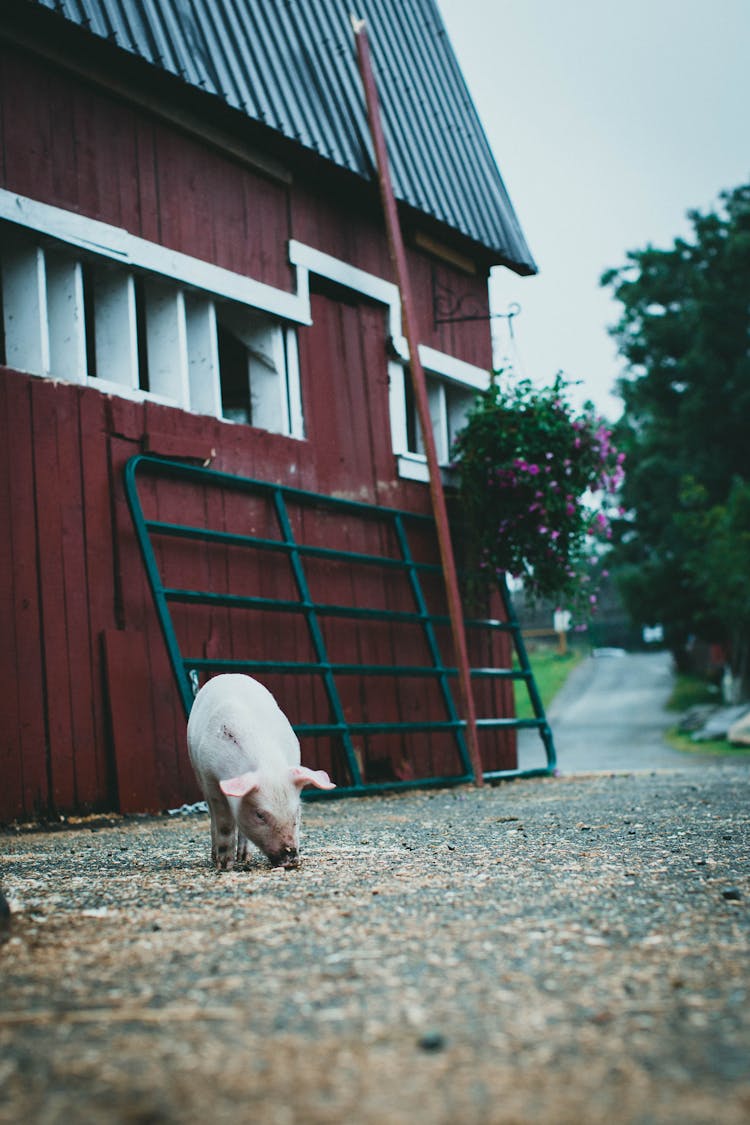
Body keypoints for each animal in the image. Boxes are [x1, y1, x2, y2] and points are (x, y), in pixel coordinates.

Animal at [186, 670, 335, 873]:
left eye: (296, 812)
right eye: (260, 815)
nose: (291, 860)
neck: (267, 763)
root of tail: (229, 674)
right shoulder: (210, 779)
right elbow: (224, 824)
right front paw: (224, 866)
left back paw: (244, 857)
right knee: (213, 819)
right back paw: (217, 857)